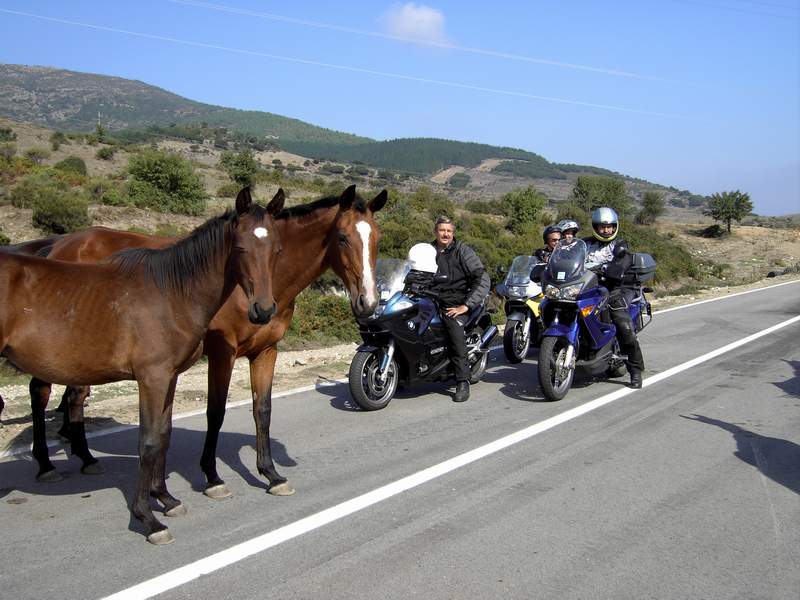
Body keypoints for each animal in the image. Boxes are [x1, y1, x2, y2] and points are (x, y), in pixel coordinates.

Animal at [0, 189, 282, 544]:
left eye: (276, 249)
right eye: (241, 247)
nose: (263, 311)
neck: (172, 293)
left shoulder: (169, 378)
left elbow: (163, 434)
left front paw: (166, 499)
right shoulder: (152, 379)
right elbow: (147, 442)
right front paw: (148, 519)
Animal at [7, 185, 388, 500]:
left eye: (377, 239)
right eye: (342, 238)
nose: (368, 302)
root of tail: (58, 244)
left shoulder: (266, 351)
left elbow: (262, 410)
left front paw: (270, 474)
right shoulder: (222, 352)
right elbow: (215, 412)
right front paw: (212, 476)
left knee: (71, 396)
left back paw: (83, 456)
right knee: (43, 392)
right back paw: (48, 464)